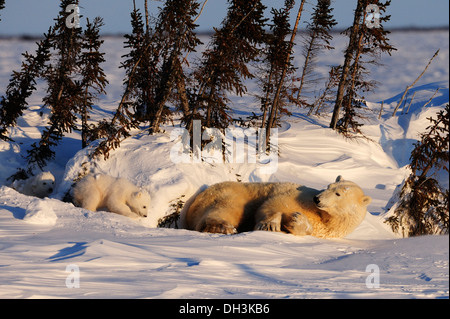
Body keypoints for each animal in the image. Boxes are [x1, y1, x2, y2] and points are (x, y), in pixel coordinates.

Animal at [185, 178, 370, 240]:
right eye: (328, 186)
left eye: (338, 193)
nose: (317, 198)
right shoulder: (301, 197)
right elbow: (276, 203)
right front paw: (270, 225)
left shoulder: (324, 229)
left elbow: (308, 229)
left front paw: (297, 221)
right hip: (230, 192)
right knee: (228, 207)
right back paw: (225, 227)